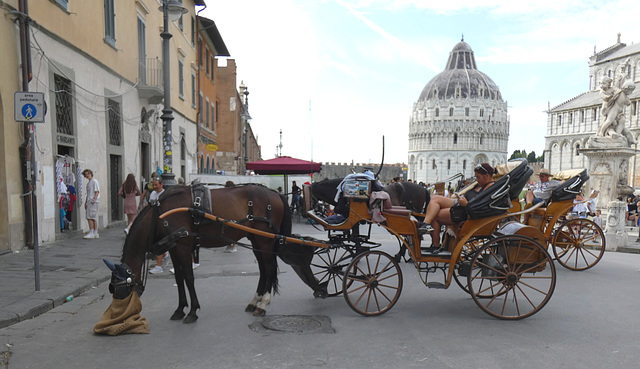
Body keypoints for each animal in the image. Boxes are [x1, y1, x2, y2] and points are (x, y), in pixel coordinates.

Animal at [107, 183, 324, 322]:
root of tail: (275, 194)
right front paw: (180, 309)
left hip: (265, 240)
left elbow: (188, 277)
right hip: (256, 239)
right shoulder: (175, 249)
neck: (160, 215)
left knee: (270, 269)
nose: (119, 316)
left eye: (120, 290)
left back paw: (263, 304)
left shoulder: (184, 247)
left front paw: (192, 311)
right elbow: (179, 278)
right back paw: (255, 301)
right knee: (263, 270)